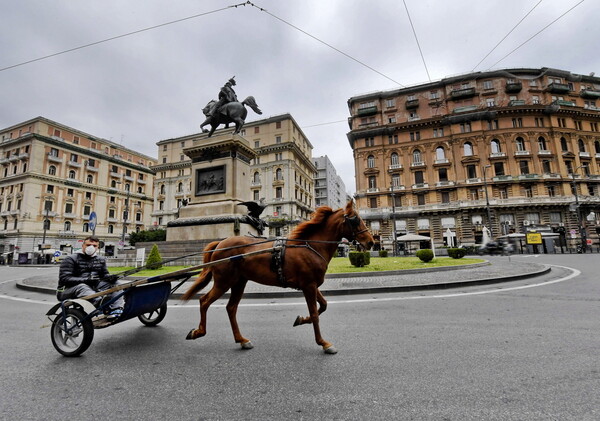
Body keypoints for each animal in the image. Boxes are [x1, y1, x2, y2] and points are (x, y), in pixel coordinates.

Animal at [180, 199, 372, 352]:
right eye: (355, 220)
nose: (370, 242)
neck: (310, 245)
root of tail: (220, 243)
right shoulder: (308, 286)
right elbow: (315, 314)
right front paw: (323, 343)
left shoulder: (311, 285)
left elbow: (323, 306)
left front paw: (301, 319)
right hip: (223, 282)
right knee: (204, 301)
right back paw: (198, 332)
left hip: (239, 282)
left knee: (231, 308)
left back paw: (241, 340)